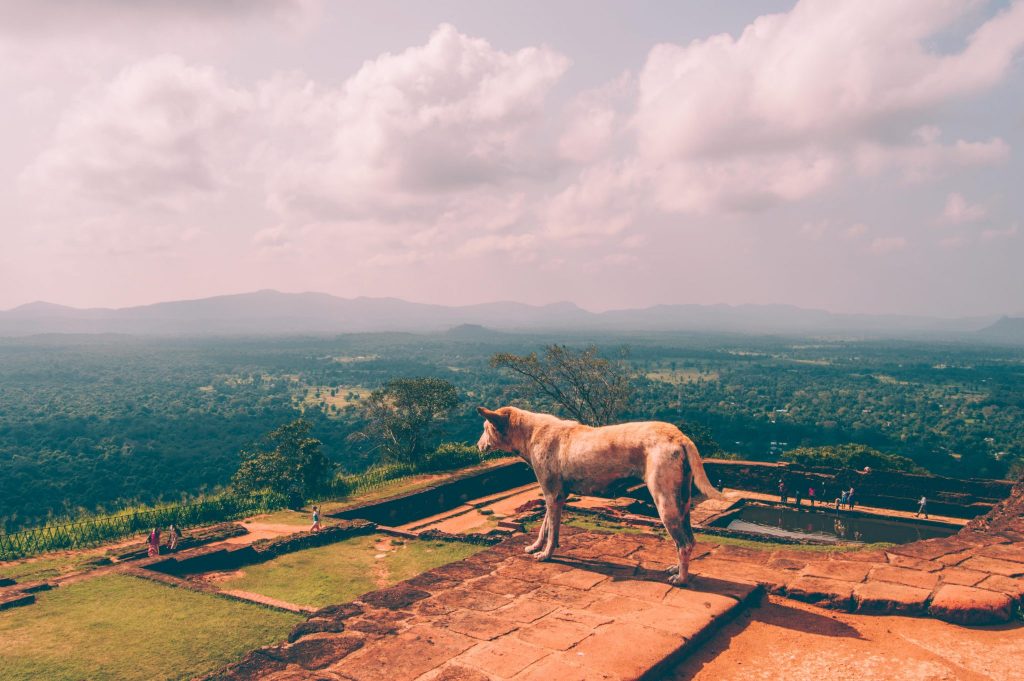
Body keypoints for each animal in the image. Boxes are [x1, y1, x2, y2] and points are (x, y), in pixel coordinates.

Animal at [477, 403, 720, 585]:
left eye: (485, 428)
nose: (478, 445)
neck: (529, 433)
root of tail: (679, 437)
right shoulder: (554, 495)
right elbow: (545, 526)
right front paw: (536, 546)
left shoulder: (553, 495)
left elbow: (552, 531)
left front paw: (546, 555)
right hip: (683, 503)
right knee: (689, 539)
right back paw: (677, 569)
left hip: (666, 503)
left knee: (684, 544)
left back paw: (681, 578)